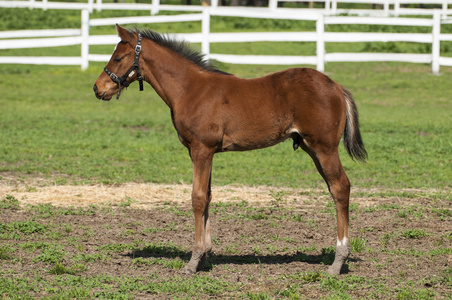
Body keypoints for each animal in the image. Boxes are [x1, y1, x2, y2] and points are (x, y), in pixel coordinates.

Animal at [94, 24, 368, 276]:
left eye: (117, 58)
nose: (98, 88)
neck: (190, 89)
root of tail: (336, 86)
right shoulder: (204, 152)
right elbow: (208, 196)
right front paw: (205, 256)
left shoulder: (201, 149)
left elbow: (197, 198)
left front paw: (193, 261)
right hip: (311, 147)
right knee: (335, 189)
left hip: (324, 147)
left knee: (341, 187)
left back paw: (338, 262)